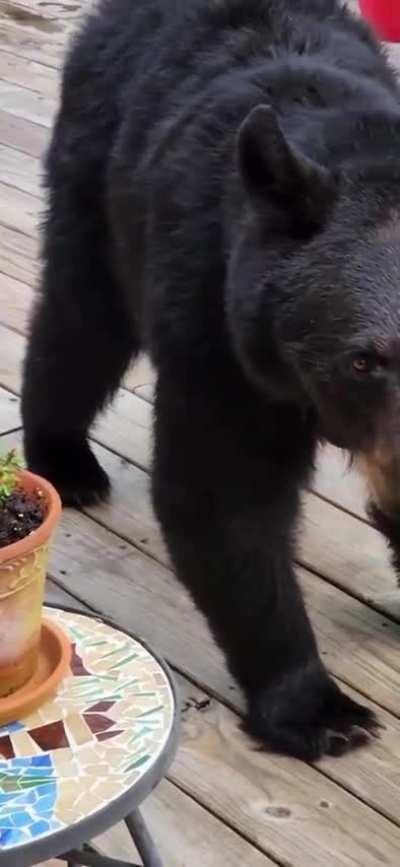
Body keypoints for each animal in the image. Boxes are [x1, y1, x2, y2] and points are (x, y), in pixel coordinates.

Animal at [22, 0, 400, 760]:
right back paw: (66, 460)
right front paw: (319, 709)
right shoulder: (219, 321)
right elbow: (224, 494)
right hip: (98, 178)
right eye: (362, 360)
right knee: (80, 325)